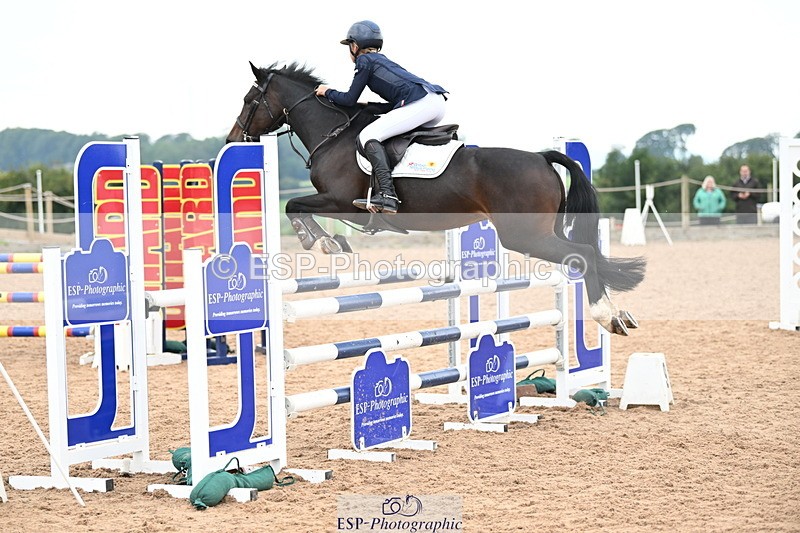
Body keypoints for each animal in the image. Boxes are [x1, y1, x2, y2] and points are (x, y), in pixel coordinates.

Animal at [226, 61, 646, 335]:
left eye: (248, 99)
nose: (232, 139)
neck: (334, 134)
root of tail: (542, 157)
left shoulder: (342, 202)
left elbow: (292, 205)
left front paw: (322, 242)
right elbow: (295, 206)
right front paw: (329, 241)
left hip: (525, 236)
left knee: (584, 255)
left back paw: (608, 316)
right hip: (542, 231)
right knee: (585, 255)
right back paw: (619, 315)